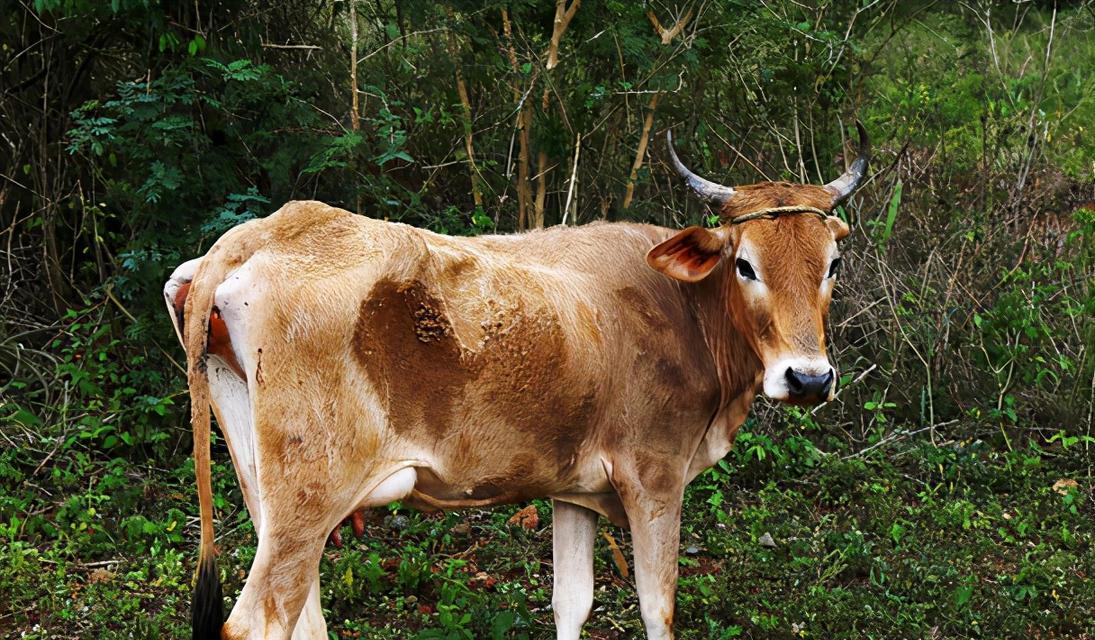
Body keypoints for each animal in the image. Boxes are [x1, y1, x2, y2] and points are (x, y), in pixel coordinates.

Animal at [164, 124, 862, 640]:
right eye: (745, 264)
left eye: (832, 264)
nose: (807, 377)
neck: (682, 307)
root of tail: (265, 229)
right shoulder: (655, 479)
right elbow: (657, 610)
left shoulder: (574, 489)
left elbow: (571, 604)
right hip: (307, 503)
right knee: (259, 622)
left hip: (266, 495)